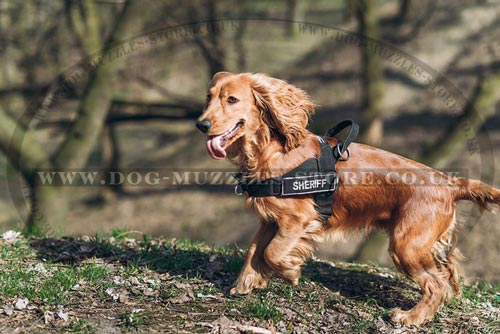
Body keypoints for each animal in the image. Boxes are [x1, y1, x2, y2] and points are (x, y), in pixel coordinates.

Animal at [195, 72, 500, 324]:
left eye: (232, 99)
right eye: (208, 97)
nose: (201, 124)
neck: (273, 150)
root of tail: (450, 182)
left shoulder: (298, 220)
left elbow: (272, 252)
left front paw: (289, 271)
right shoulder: (270, 220)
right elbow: (254, 250)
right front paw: (245, 283)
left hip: (406, 245)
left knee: (435, 285)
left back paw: (411, 317)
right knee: (447, 272)